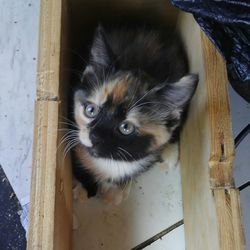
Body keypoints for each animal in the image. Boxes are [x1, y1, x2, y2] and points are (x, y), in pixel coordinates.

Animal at [70, 24, 197, 204]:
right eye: (91, 110)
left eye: (126, 127)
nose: (94, 136)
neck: (108, 160)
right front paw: (84, 187)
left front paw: (116, 191)